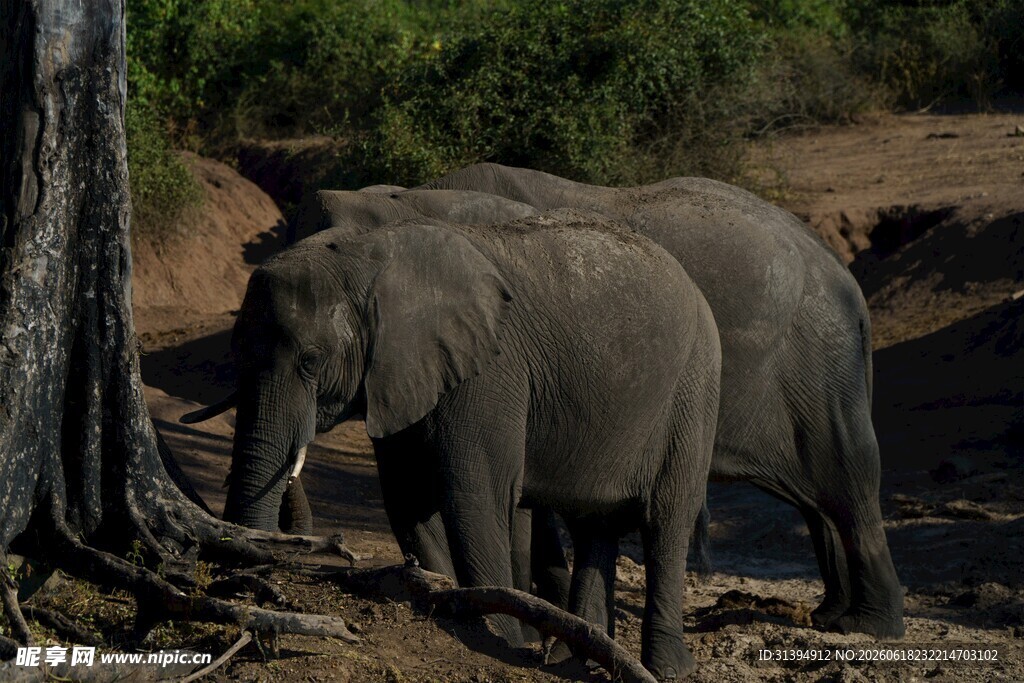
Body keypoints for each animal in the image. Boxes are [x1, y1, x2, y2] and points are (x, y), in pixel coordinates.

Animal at [213, 210, 721, 678]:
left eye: (311, 361)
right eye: (235, 351)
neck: (369, 253)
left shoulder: (488, 372)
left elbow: (474, 499)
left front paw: (499, 636)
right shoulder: (401, 377)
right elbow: (409, 503)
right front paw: (448, 600)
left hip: (694, 392)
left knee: (666, 522)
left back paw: (666, 670)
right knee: (593, 525)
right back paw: (577, 657)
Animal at [412, 163, 905, 640]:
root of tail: (845, 278)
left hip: (818, 359)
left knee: (847, 473)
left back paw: (867, 626)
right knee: (819, 496)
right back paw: (830, 615)